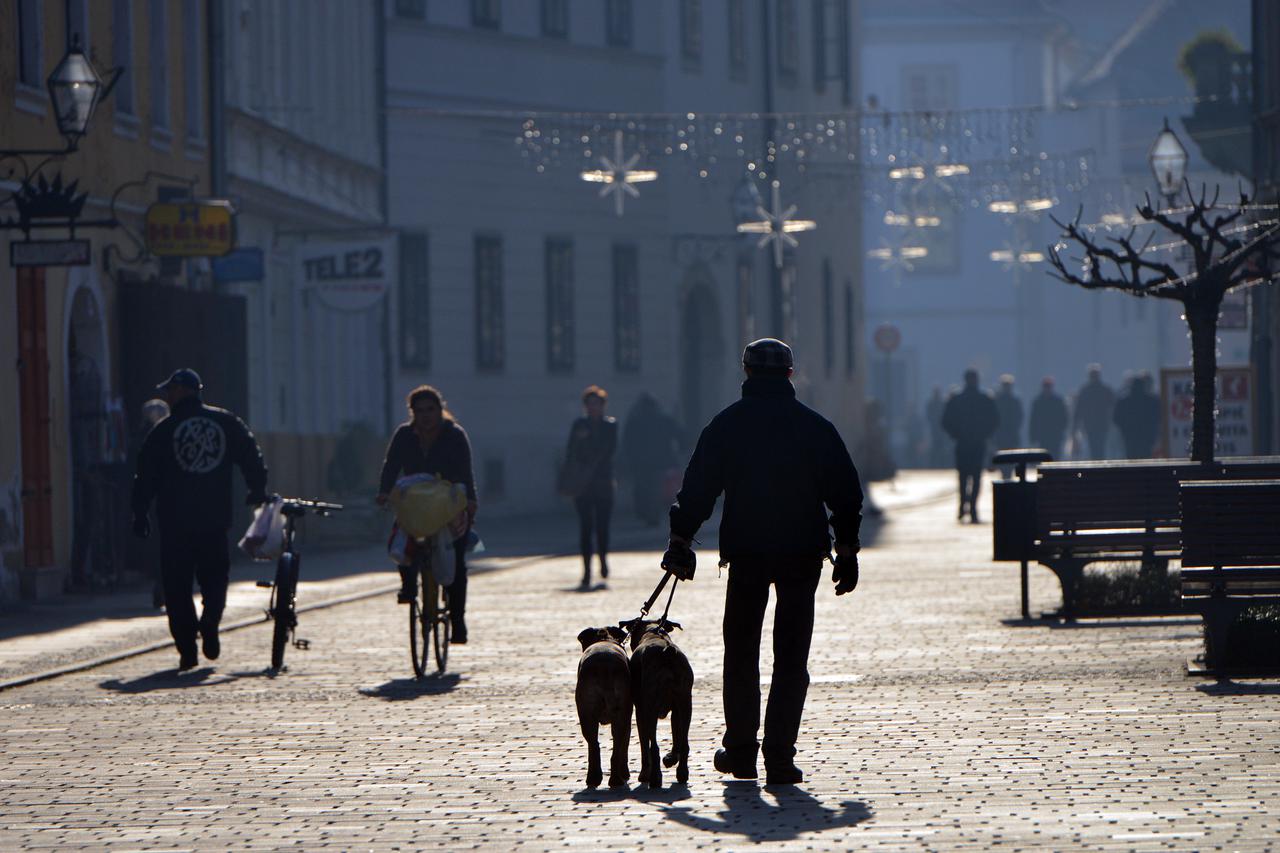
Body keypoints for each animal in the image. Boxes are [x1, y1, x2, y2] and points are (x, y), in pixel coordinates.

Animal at [576, 622, 629, 788]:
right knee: (616, 746)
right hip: (620, 715)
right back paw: (616, 779)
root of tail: (604, 665)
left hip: (587, 714)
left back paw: (595, 778)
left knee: (594, 745)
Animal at [619, 614, 691, 788]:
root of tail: (667, 652)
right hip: (685, 702)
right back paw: (682, 772)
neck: (653, 632)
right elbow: (676, 733)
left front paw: (644, 773)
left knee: (654, 747)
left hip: (650, 708)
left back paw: (654, 777)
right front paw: (671, 758)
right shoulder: (676, 709)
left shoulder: (640, 711)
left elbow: (644, 744)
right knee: (684, 743)